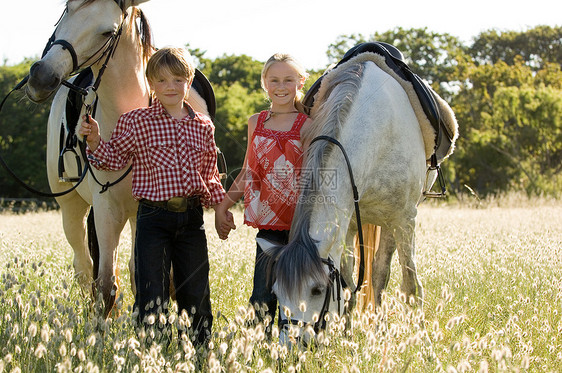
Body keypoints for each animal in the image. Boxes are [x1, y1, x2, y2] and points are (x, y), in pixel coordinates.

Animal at [266, 53, 456, 338]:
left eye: (317, 290)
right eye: (277, 292)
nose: (292, 344)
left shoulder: (404, 219)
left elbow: (410, 283)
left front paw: (420, 336)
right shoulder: (348, 224)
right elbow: (347, 284)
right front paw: (347, 334)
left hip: (392, 223)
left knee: (380, 273)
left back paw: (380, 326)